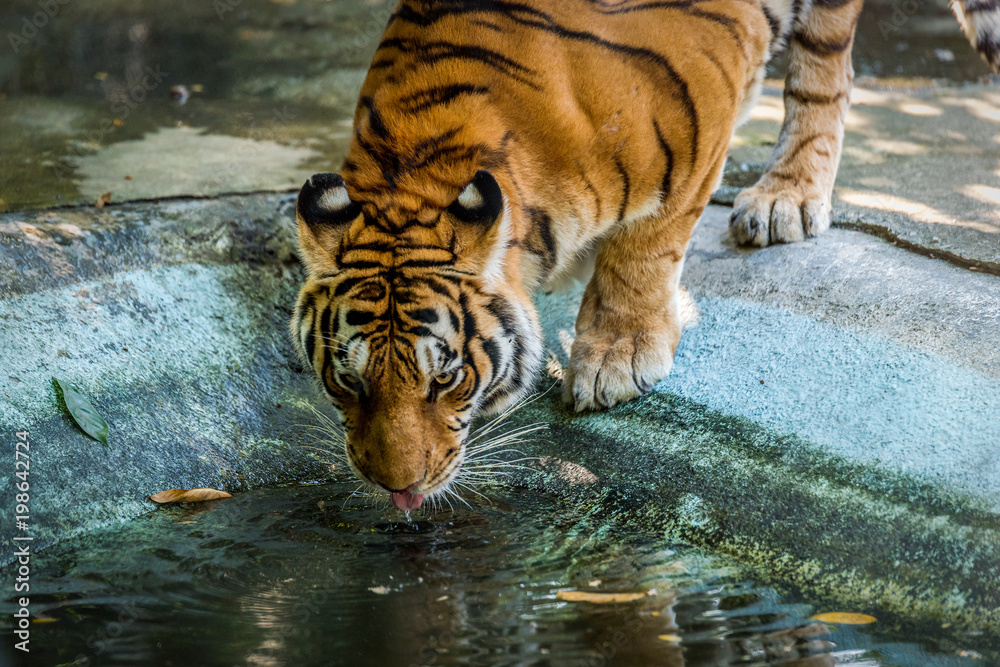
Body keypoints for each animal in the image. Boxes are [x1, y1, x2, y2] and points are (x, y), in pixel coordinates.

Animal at [292, 0, 1000, 512]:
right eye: (348, 381)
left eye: (446, 379)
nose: (397, 489)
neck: (415, 167)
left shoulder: (697, 119)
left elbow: (648, 243)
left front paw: (617, 359)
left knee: (823, 74)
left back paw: (786, 196)